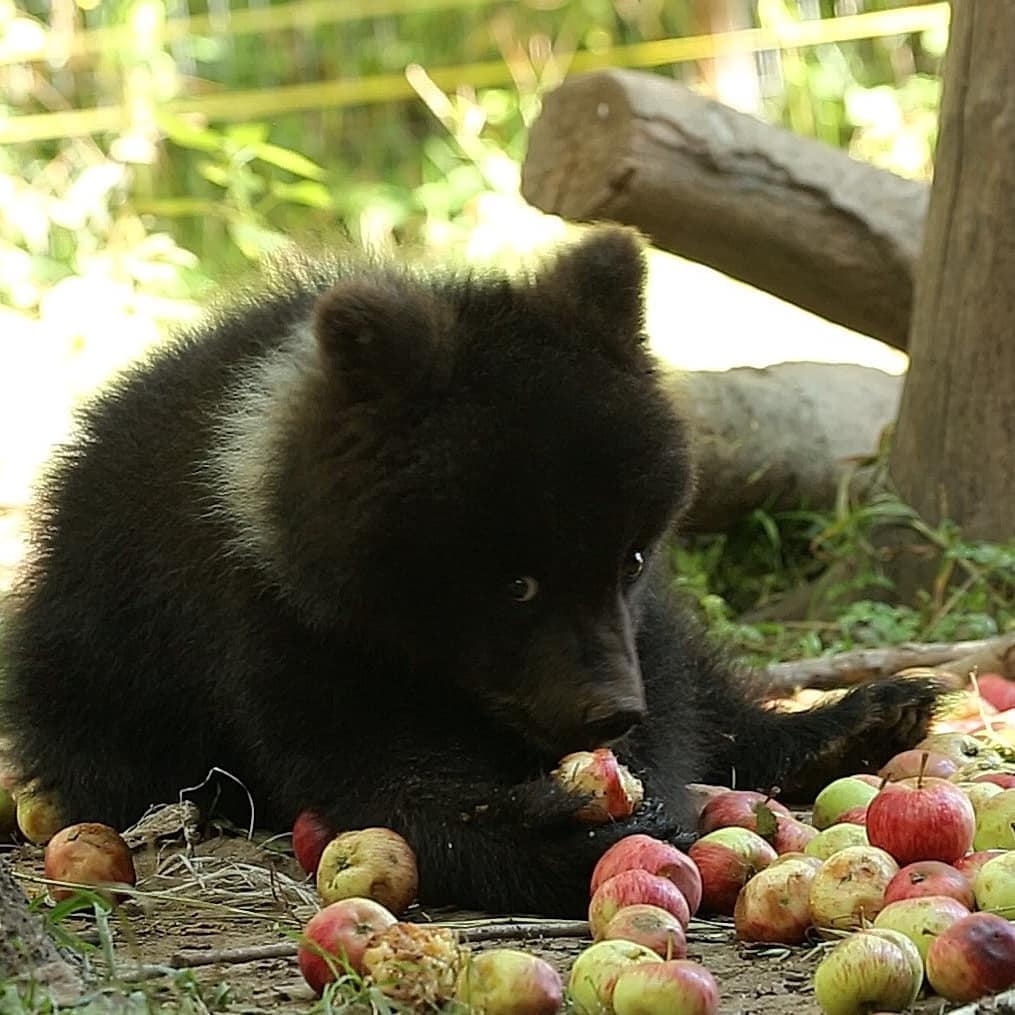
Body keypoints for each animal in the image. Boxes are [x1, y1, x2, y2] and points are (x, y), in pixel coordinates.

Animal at [0, 230, 937, 913]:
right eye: (512, 582)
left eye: (629, 556)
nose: (606, 710)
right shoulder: (268, 622)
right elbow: (375, 772)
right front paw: (557, 828)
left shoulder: (634, 616)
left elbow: (677, 684)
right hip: (103, 675)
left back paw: (869, 715)